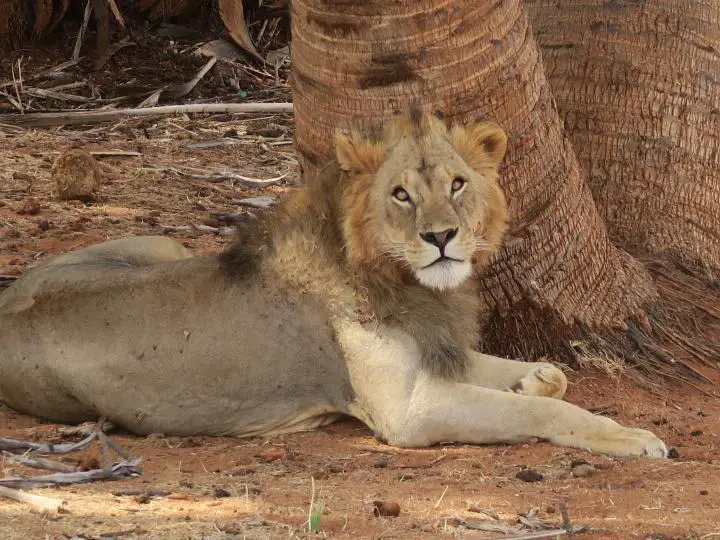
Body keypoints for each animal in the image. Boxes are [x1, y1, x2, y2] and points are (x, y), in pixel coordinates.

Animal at [0, 112, 668, 458]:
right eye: (400, 194)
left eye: (456, 183)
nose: (442, 237)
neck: (405, 283)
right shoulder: (408, 412)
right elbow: (542, 409)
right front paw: (631, 436)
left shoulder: (433, 357)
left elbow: (542, 379)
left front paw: (536, 375)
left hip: (166, 247)